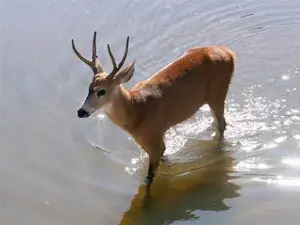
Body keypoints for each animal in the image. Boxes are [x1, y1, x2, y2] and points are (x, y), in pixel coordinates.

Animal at [71, 31, 236, 186]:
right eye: (89, 88)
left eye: (102, 91)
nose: (81, 112)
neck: (136, 110)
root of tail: (229, 53)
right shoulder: (148, 142)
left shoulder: (154, 138)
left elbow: (149, 178)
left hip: (217, 94)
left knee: (221, 124)